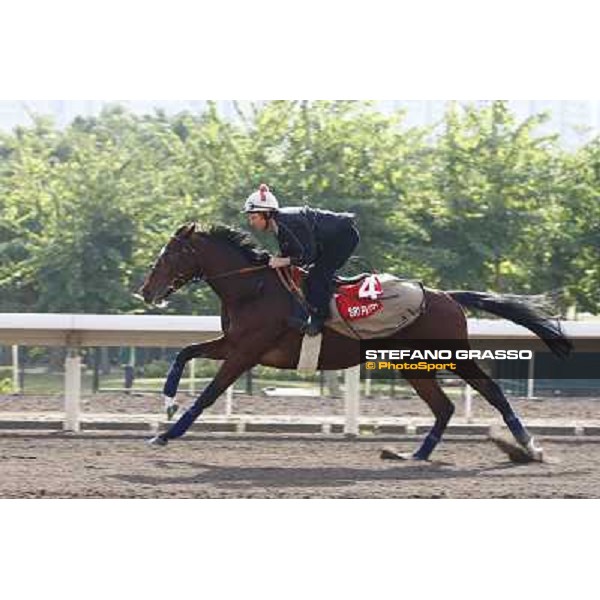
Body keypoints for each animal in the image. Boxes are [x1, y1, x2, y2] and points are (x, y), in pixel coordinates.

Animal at [137, 223, 572, 462]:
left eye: (170, 255)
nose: (146, 291)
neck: (253, 287)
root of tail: (446, 295)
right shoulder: (233, 344)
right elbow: (184, 353)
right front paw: (167, 402)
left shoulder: (246, 352)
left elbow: (208, 394)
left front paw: (167, 433)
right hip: (413, 363)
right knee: (444, 406)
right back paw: (415, 454)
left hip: (447, 353)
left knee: (490, 390)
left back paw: (529, 447)